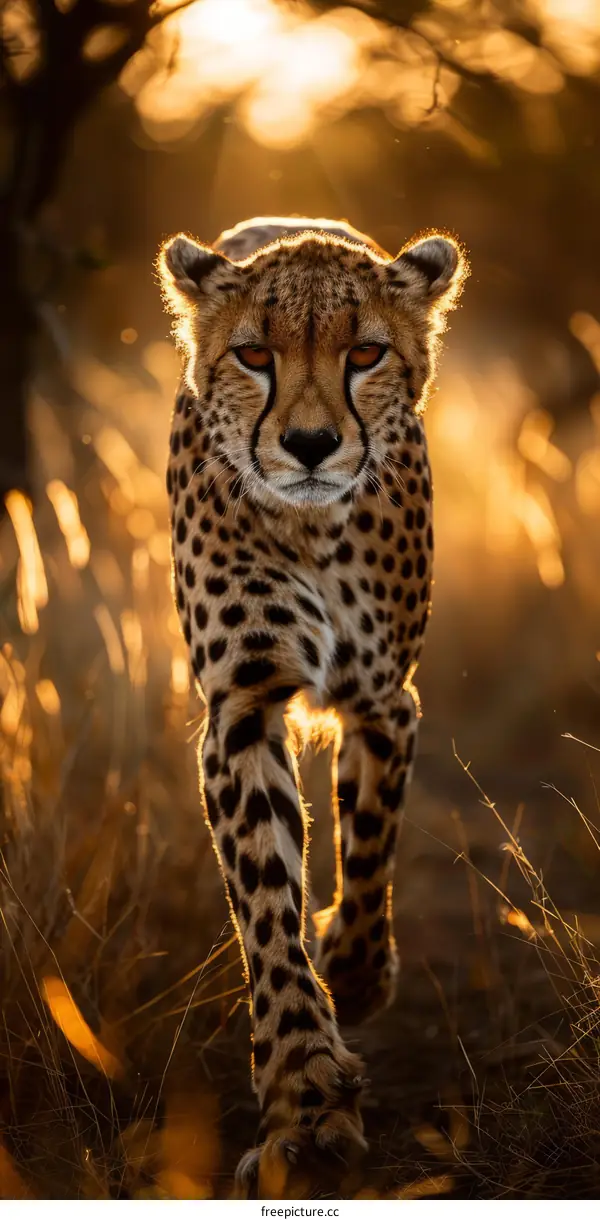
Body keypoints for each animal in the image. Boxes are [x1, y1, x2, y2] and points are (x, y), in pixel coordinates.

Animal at [157, 214, 468, 1197]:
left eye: (365, 352)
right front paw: (307, 1105)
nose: (308, 445)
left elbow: (370, 844)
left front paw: (359, 974)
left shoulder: (384, 700)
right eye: (254, 354)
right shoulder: (242, 710)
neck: (315, 529)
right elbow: (266, 911)